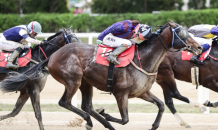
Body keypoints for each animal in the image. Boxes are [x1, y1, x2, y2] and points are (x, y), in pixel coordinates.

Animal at [0, 20, 203, 129]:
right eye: (183, 34)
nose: (199, 48)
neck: (143, 59)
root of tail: (53, 56)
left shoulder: (142, 92)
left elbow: (161, 105)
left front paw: (154, 126)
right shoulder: (121, 93)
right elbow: (125, 119)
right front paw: (106, 114)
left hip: (85, 83)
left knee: (86, 105)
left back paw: (98, 121)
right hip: (73, 81)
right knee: (65, 103)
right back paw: (94, 120)